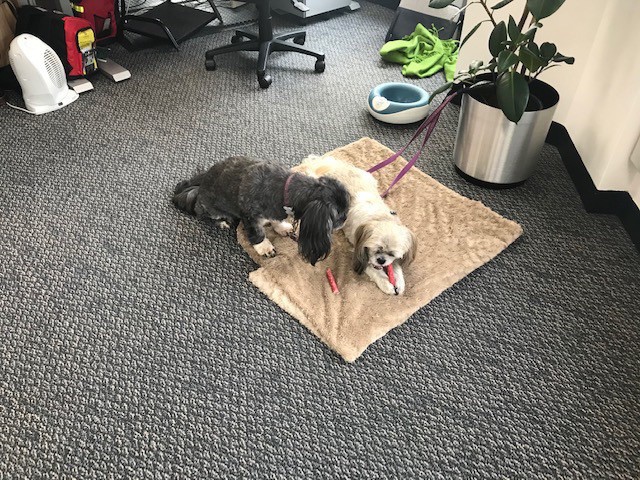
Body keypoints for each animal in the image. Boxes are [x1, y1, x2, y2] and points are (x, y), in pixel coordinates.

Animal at [174, 156, 350, 264]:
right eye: (339, 216)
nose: (346, 219)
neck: (284, 189)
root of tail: (201, 181)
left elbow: (276, 220)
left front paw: (282, 227)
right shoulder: (249, 216)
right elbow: (257, 234)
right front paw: (265, 248)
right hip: (211, 208)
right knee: (203, 214)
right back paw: (223, 221)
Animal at [294, 156, 418, 294]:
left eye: (392, 254)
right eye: (376, 249)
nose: (381, 260)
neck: (379, 218)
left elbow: (394, 266)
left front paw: (399, 282)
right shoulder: (360, 248)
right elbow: (372, 269)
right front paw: (386, 283)